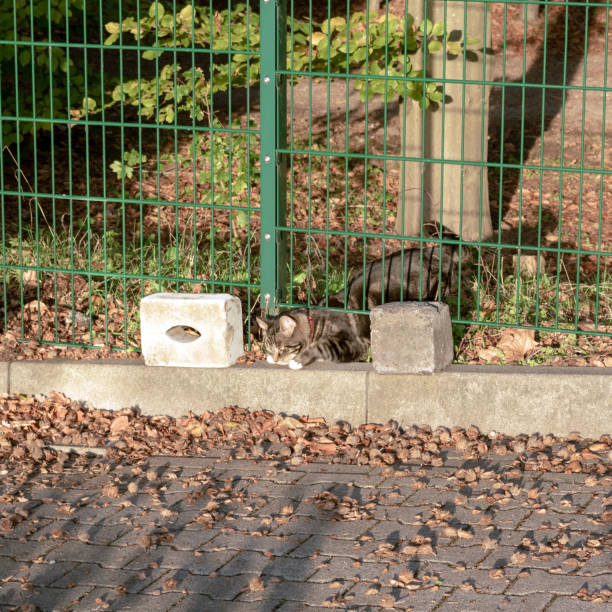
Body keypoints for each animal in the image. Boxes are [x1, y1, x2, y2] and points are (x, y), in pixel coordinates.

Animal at [256, 244, 456, 368]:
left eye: (282, 348)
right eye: (269, 347)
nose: (275, 359)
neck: (316, 323)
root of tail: (430, 252)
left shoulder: (351, 342)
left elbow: (321, 346)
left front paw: (298, 360)